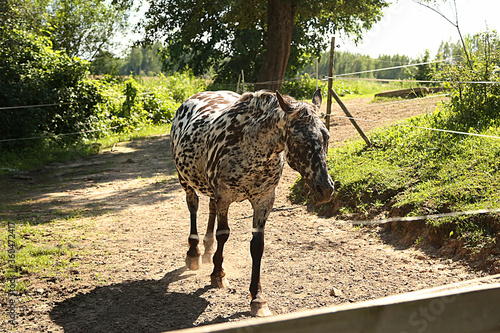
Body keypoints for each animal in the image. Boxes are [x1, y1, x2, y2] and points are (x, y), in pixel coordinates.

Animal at [170, 89, 334, 316]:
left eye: (326, 136)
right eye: (300, 140)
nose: (325, 189)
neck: (250, 146)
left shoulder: (264, 200)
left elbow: (257, 246)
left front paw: (257, 298)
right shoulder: (225, 197)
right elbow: (223, 234)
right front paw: (218, 274)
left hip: (211, 191)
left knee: (210, 209)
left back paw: (208, 248)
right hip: (185, 180)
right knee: (193, 205)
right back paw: (194, 253)